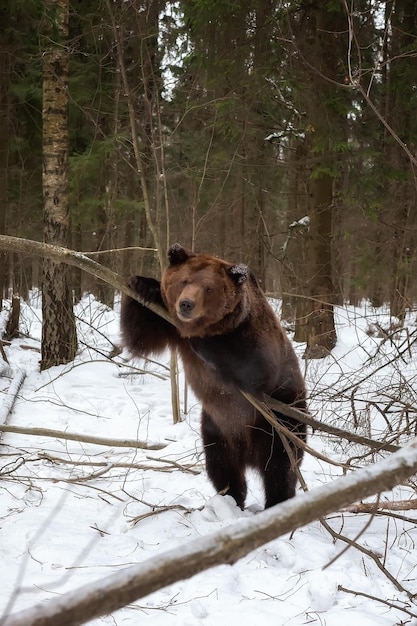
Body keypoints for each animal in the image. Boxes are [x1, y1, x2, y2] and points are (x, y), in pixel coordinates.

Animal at [120, 243, 306, 508]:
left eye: (209, 288)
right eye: (184, 280)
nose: (186, 304)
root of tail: (248, 453)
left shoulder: (254, 335)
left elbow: (255, 369)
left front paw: (204, 342)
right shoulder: (169, 325)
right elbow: (139, 336)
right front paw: (143, 284)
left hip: (279, 419)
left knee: (280, 467)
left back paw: (277, 503)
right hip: (217, 428)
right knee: (222, 467)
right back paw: (229, 498)